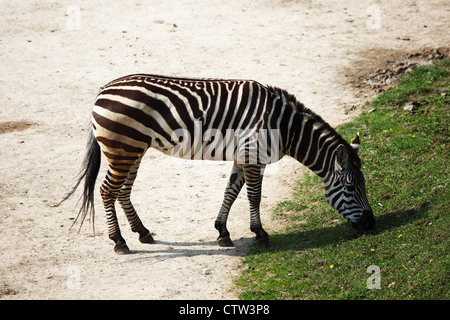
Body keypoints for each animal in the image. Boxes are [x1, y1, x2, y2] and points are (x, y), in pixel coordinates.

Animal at [61, 74, 374, 254]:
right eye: (351, 188)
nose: (371, 225)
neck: (285, 127)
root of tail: (102, 90)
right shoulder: (253, 156)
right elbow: (254, 196)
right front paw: (260, 234)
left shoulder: (243, 157)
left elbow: (230, 193)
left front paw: (223, 232)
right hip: (122, 149)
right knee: (106, 191)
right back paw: (119, 241)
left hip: (133, 150)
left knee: (122, 191)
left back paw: (143, 233)